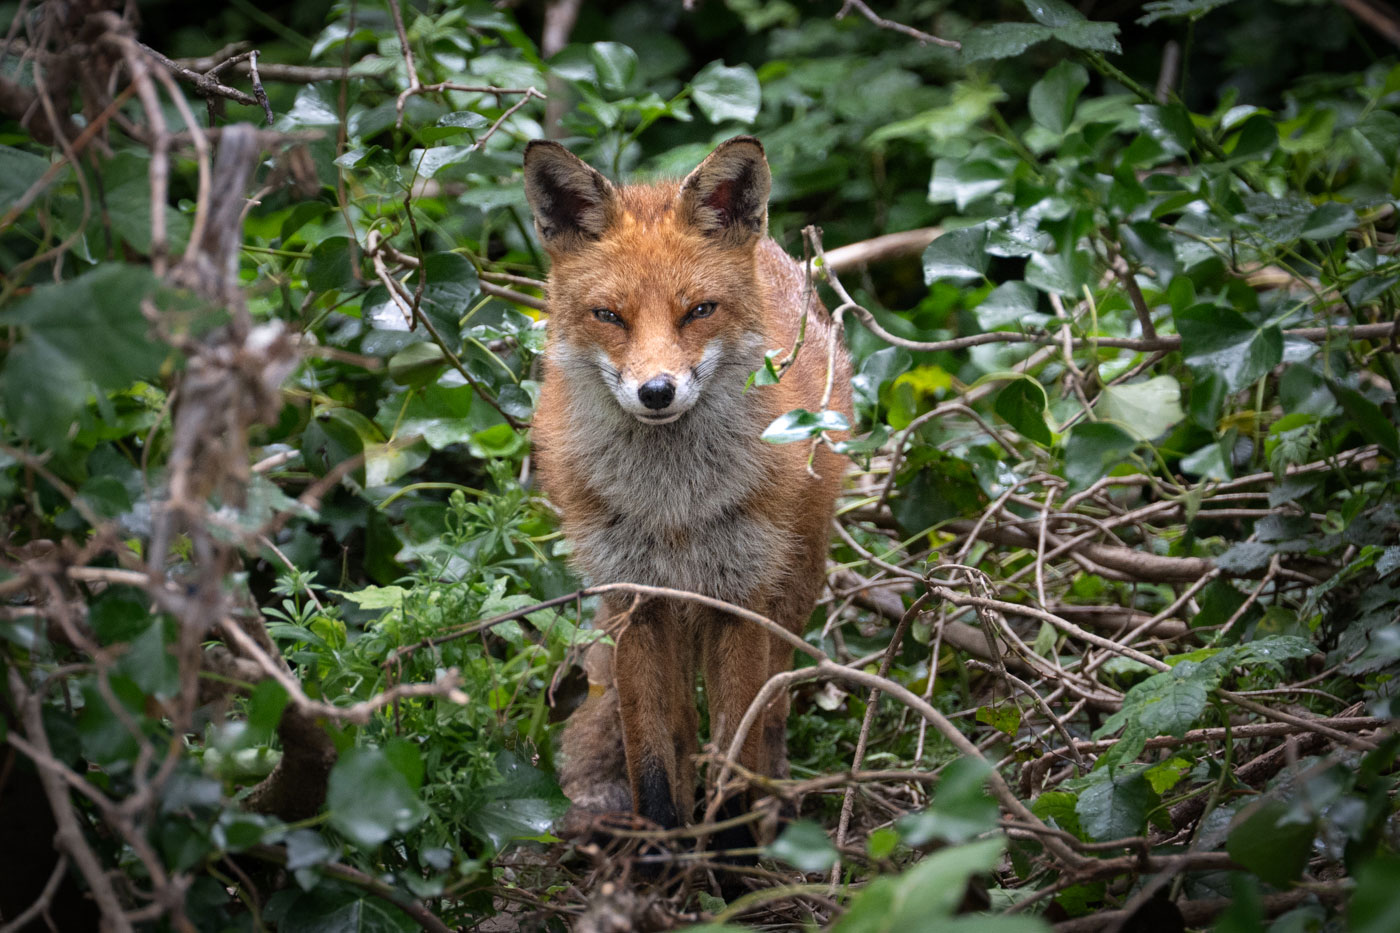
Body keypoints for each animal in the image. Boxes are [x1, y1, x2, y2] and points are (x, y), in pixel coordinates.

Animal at [523, 136, 852, 845]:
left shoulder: (740, 599)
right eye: (609, 316)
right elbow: (653, 758)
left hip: (793, 586)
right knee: (671, 725)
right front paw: (659, 855)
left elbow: (736, 751)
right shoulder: (637, 603)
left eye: (698, 311)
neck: (674, 506)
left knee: (772, 712)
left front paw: (730, 857)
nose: (656, 391)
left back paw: (775, 808)